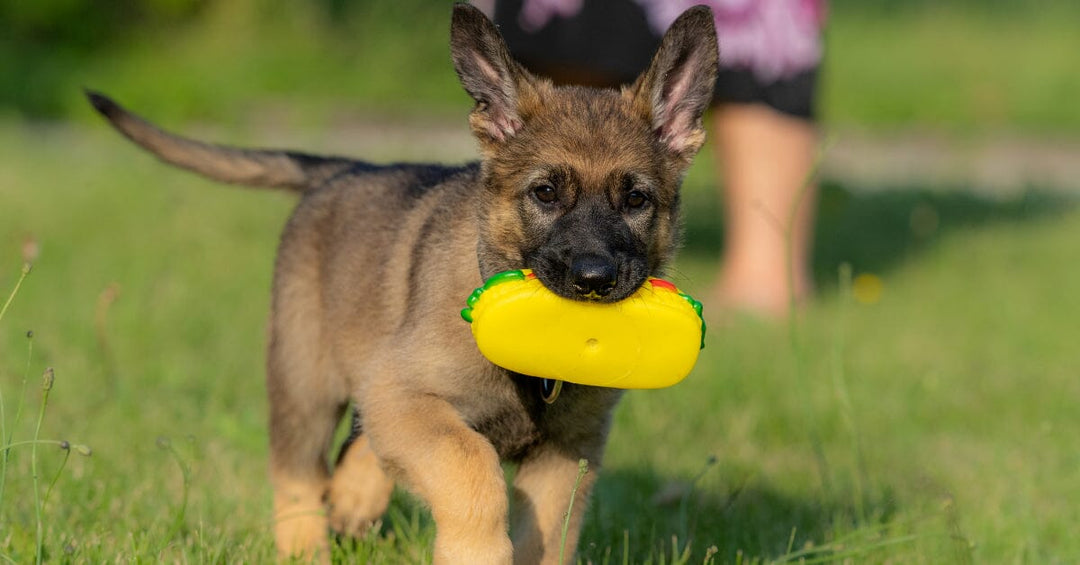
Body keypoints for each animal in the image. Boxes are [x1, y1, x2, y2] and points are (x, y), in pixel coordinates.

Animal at [90, 3, 717, 561]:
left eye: (636, 200)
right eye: (544, 193)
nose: (594, 279)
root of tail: (348, 167)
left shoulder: (567, 453)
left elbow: (547, 536)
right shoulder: (409, 395)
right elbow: (470, 464)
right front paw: (474, 552)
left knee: (360, 440)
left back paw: (354, 498)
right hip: (305, 378)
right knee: (298, 473)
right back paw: (305, 548)